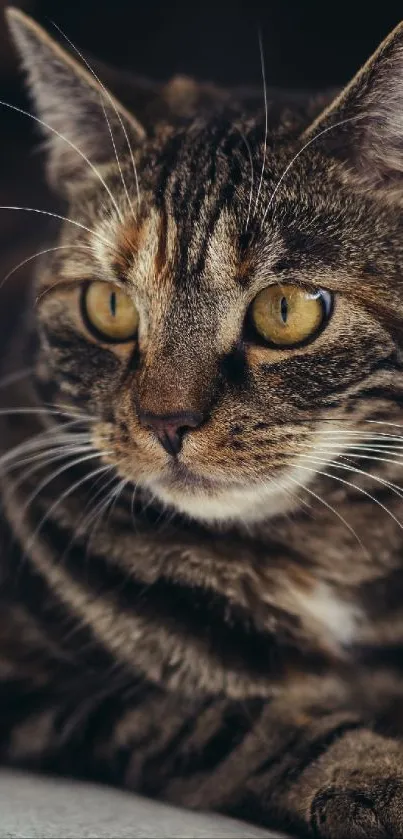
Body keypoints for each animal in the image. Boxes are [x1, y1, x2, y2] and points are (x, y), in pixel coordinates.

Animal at [0, 8, 403, 839]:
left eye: (286, 310)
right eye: (108, 305)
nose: (167, 420)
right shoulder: (57, 696)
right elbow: (222, 718)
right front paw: (371, 772)